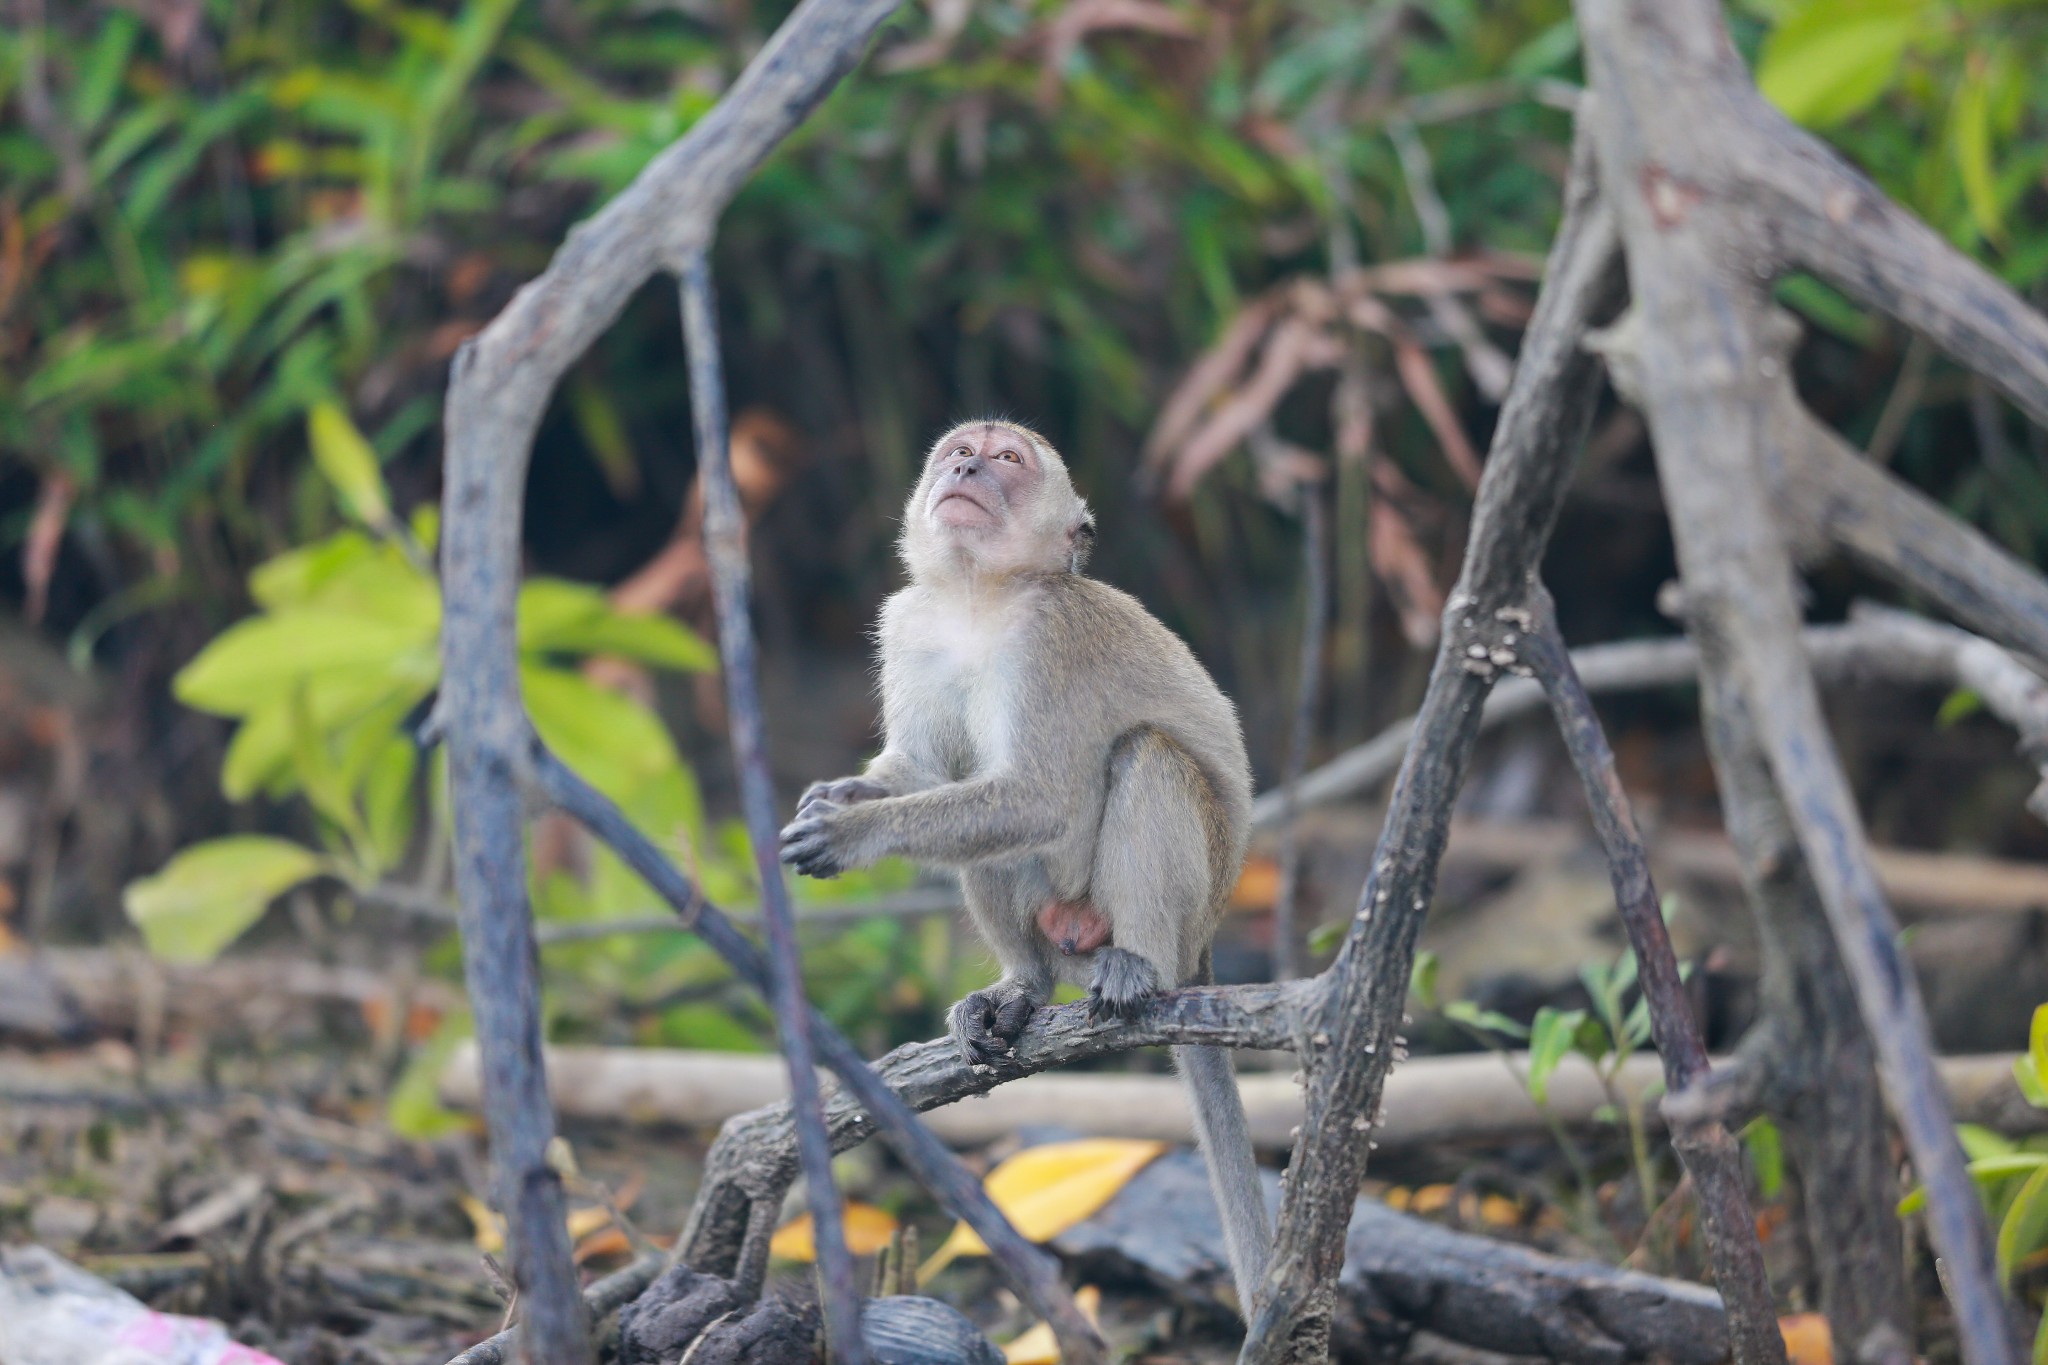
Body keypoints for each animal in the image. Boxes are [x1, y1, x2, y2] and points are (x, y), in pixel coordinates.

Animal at [778, 421, 1269, 1317]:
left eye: (1008, 460)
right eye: (959, 451)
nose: (970, 466)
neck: (980, 598)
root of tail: (1206, 941)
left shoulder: (1050, 635)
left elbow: (1035, 797)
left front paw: (859, 829)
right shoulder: (910, 620)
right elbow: (924, 770)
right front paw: (847, 792)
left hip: (1187, 902)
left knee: (1146, 757)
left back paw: (1140, 965)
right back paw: (1024, 985)